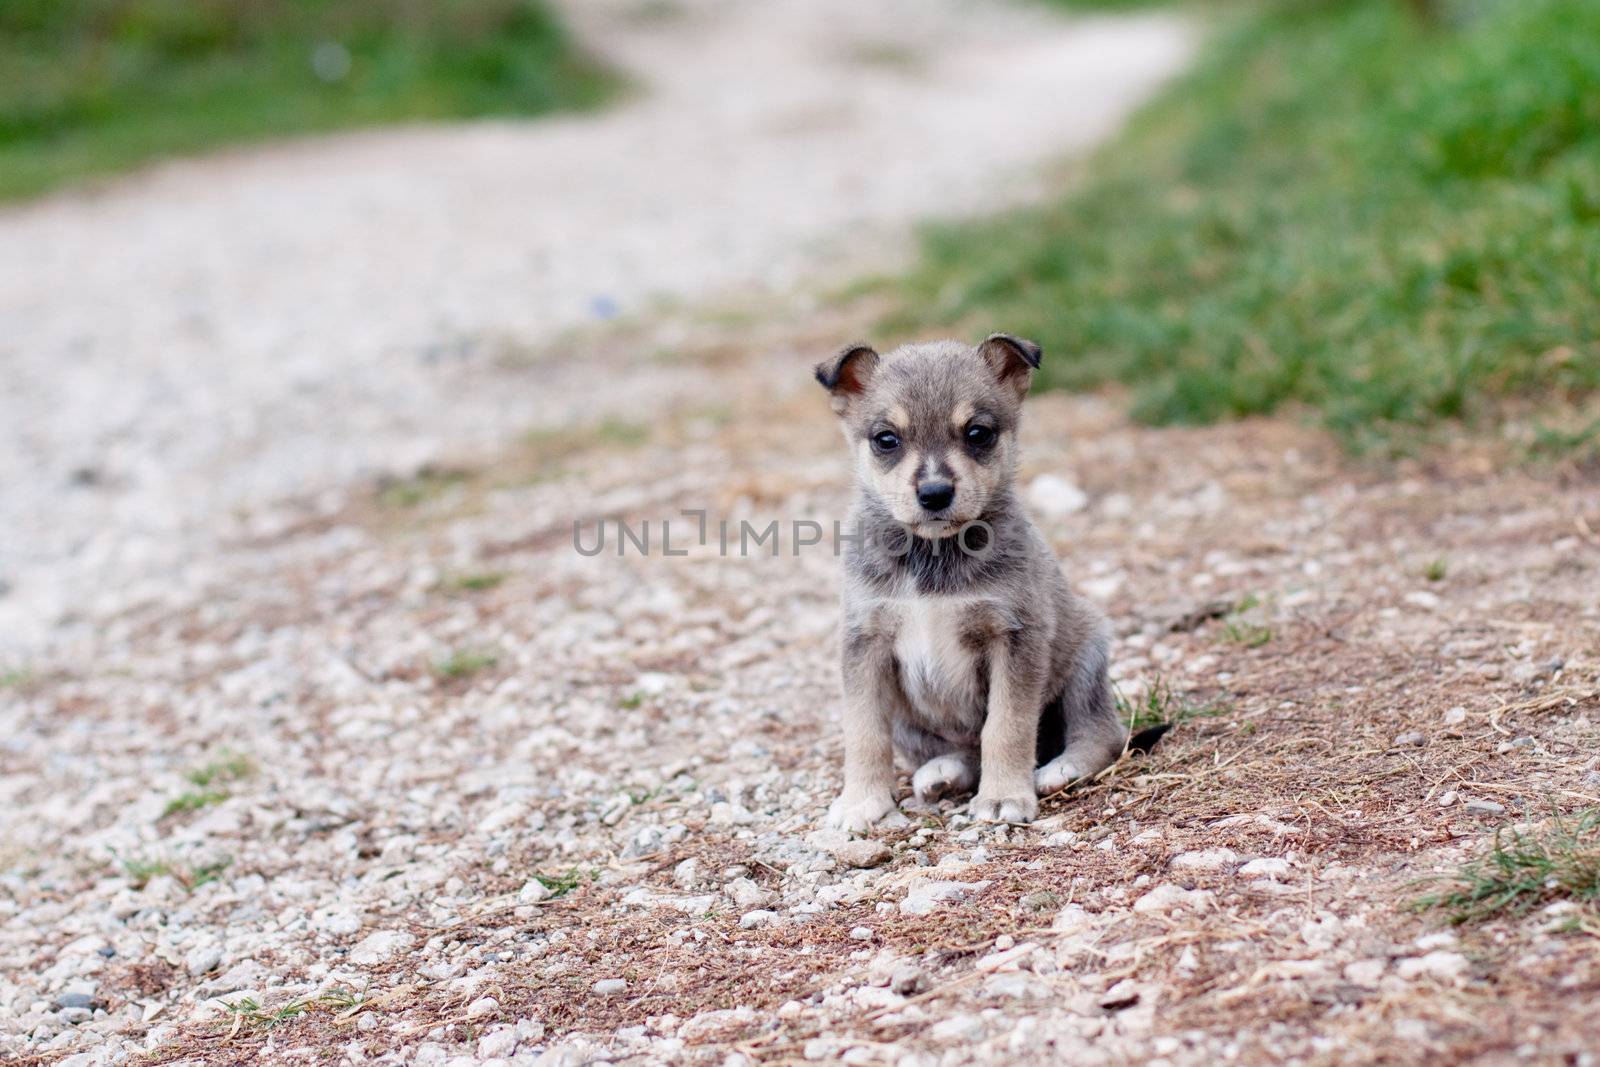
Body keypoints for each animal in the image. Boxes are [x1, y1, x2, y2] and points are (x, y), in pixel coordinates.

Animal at [812, 335, 1164, 831]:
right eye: (886, 439)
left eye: (977, 433)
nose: (935, 493)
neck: (933, 555)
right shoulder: (866, 642)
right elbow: (864, 731)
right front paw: (862, 800)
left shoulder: (1014, 637)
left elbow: (1006, 726)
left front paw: (1003, 797)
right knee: (965, 752)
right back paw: (943, 772)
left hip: (1086, 661)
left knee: (1102, 734)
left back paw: (1060, 769)